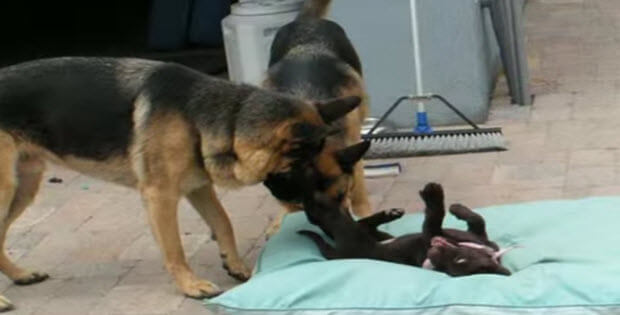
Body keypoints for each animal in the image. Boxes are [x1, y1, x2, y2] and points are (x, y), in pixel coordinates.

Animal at [0, 56, 364, 312]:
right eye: (306, 174)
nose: (340, 224)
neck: (223, 116)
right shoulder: (160, 196)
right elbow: (174, 247)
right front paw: (191, 285)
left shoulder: (198, 186)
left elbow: (223, 222)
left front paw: (235, 265)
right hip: (7, 190)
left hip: (23, 186)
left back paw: (20, 275)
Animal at [262, 0, 372, 232]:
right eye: (305, 207)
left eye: (340, 195)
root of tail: (308, 21)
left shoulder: (352, 144)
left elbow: (358, 187)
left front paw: (363, 212)